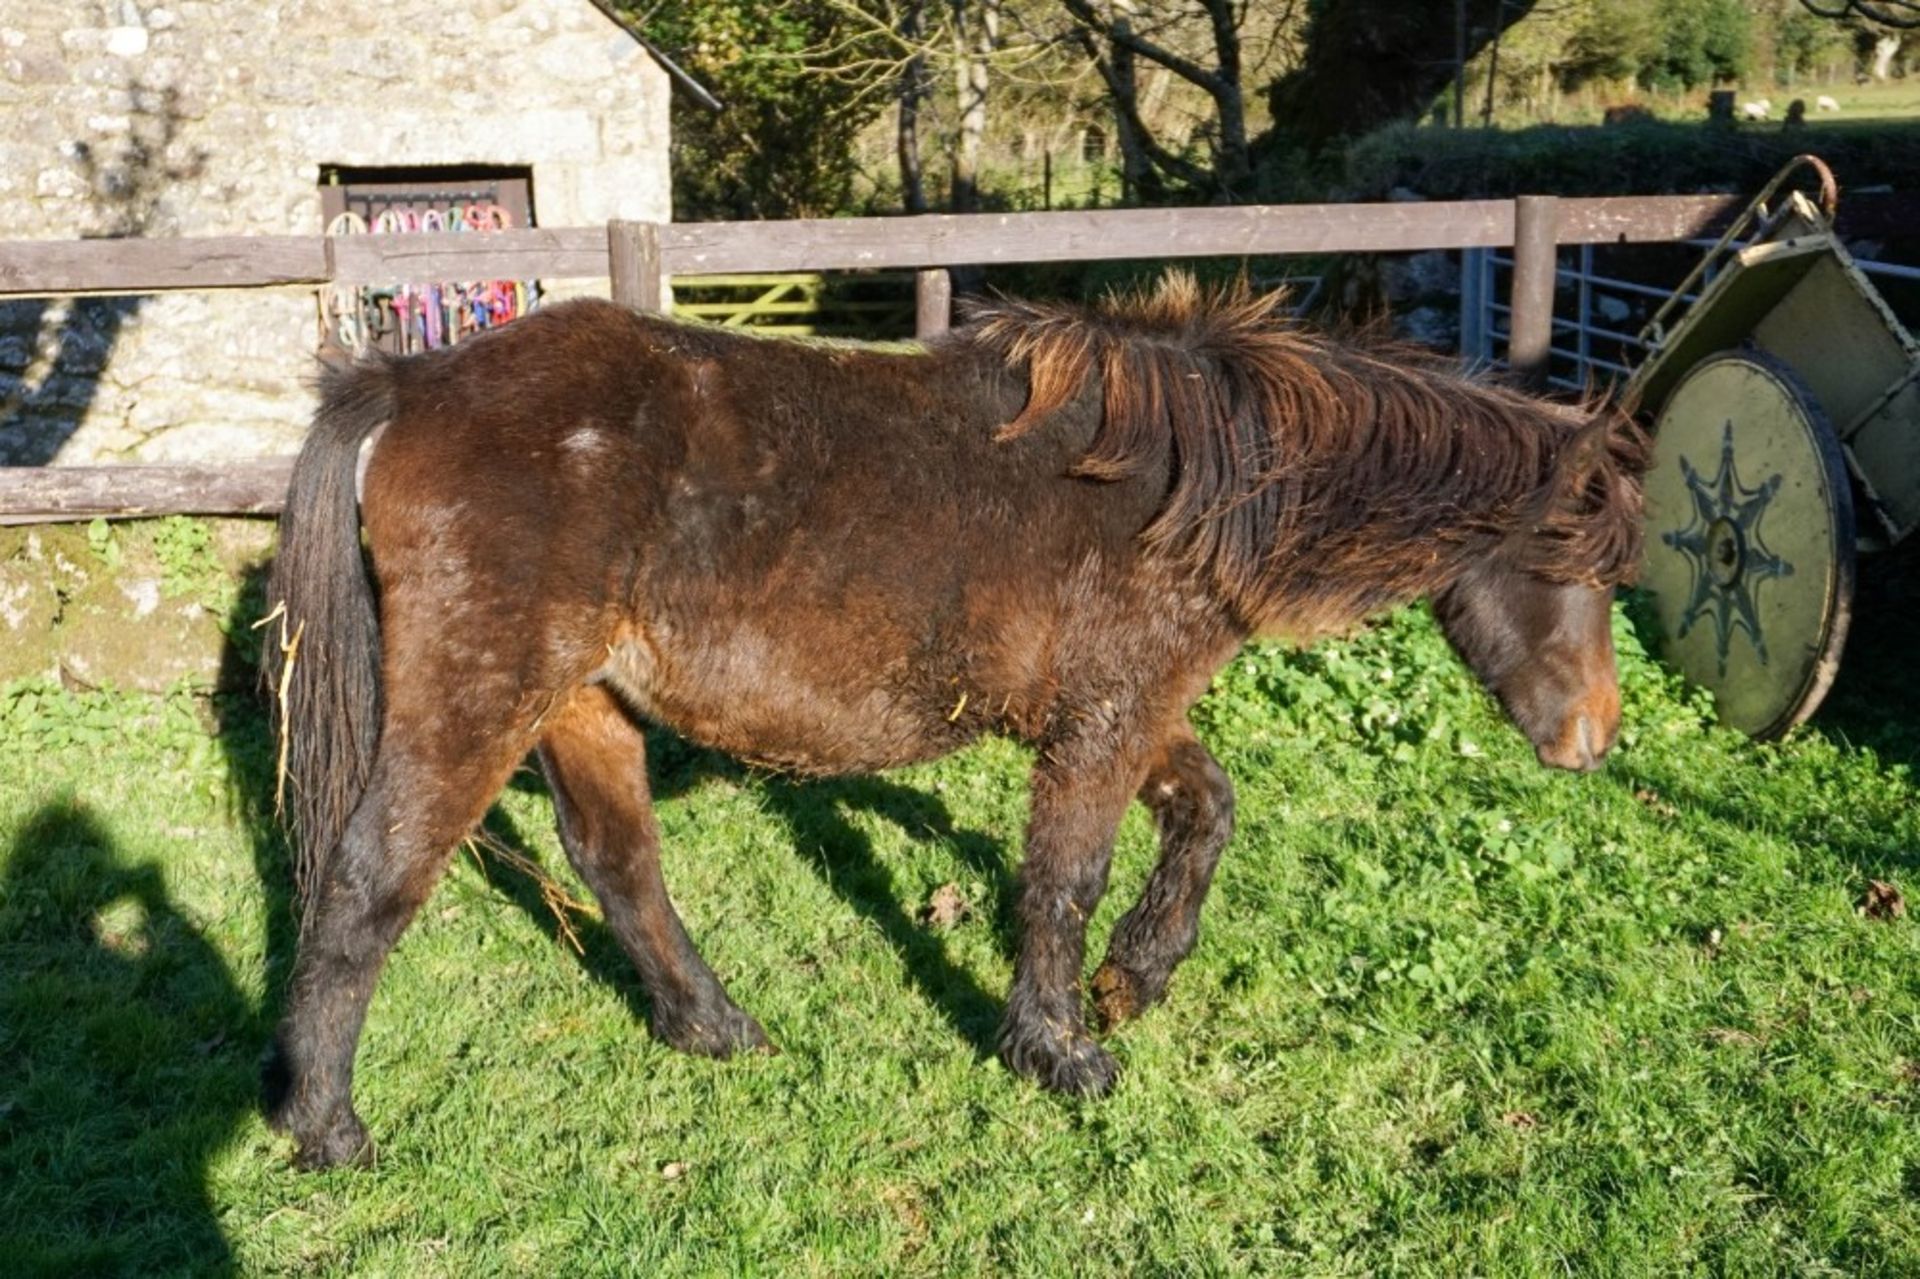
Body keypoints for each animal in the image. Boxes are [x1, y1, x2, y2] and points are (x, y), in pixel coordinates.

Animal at [263, 276, 1651, 1167]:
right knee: (372, 880)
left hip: (583, 704)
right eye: (1575, 561)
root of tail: (411, 380)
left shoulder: (1120, 711)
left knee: (621, 867)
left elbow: (1206, 812)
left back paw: (717, 1030)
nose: (1593, 737)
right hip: (480, 699)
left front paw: (1138, 976)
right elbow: (1066, 877)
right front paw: (1060, 1047)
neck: (1194, 482)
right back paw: (328, 1127)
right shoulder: (1107, 718)